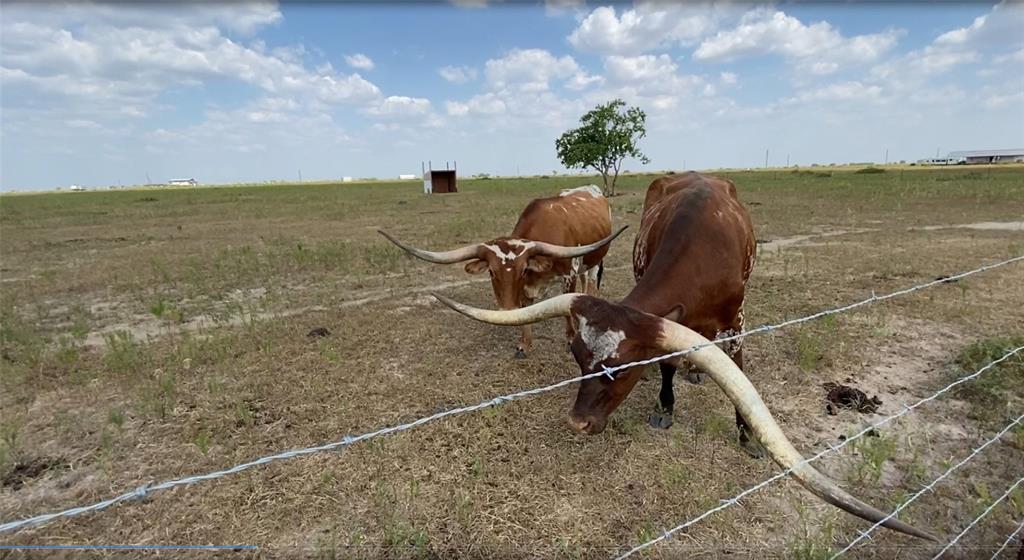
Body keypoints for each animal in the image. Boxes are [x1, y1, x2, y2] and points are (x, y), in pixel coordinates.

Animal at [382, 186, 626, 356]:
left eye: (522, 270)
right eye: (491, 272)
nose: (506, 310)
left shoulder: (568, 276)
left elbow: (566, 312)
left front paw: (570, 339)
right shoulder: (527, 289)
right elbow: (526, 314)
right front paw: (524, 345)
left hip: (596, 260)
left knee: (591, 281)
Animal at [430, 171, 937, 544]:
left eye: (621, 369)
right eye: (577, 359)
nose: (576, 423)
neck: (702, 246)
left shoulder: (737, 319)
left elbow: (736, 366)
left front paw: (746, 434)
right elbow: (667, 364)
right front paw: (665, 408)